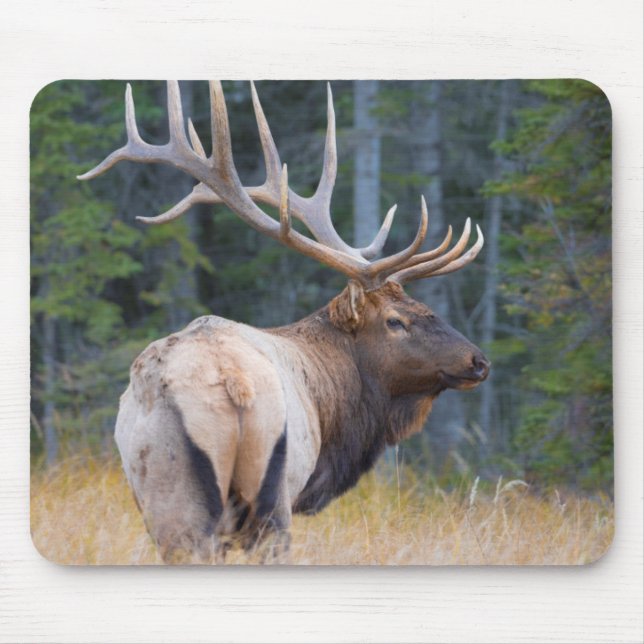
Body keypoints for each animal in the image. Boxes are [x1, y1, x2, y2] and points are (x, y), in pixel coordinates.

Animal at [79, 81, 490, 563]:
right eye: (395, 321)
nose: (478, 361)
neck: (334, 413)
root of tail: (231, 382)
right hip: (255, 498)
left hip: (185, 501)